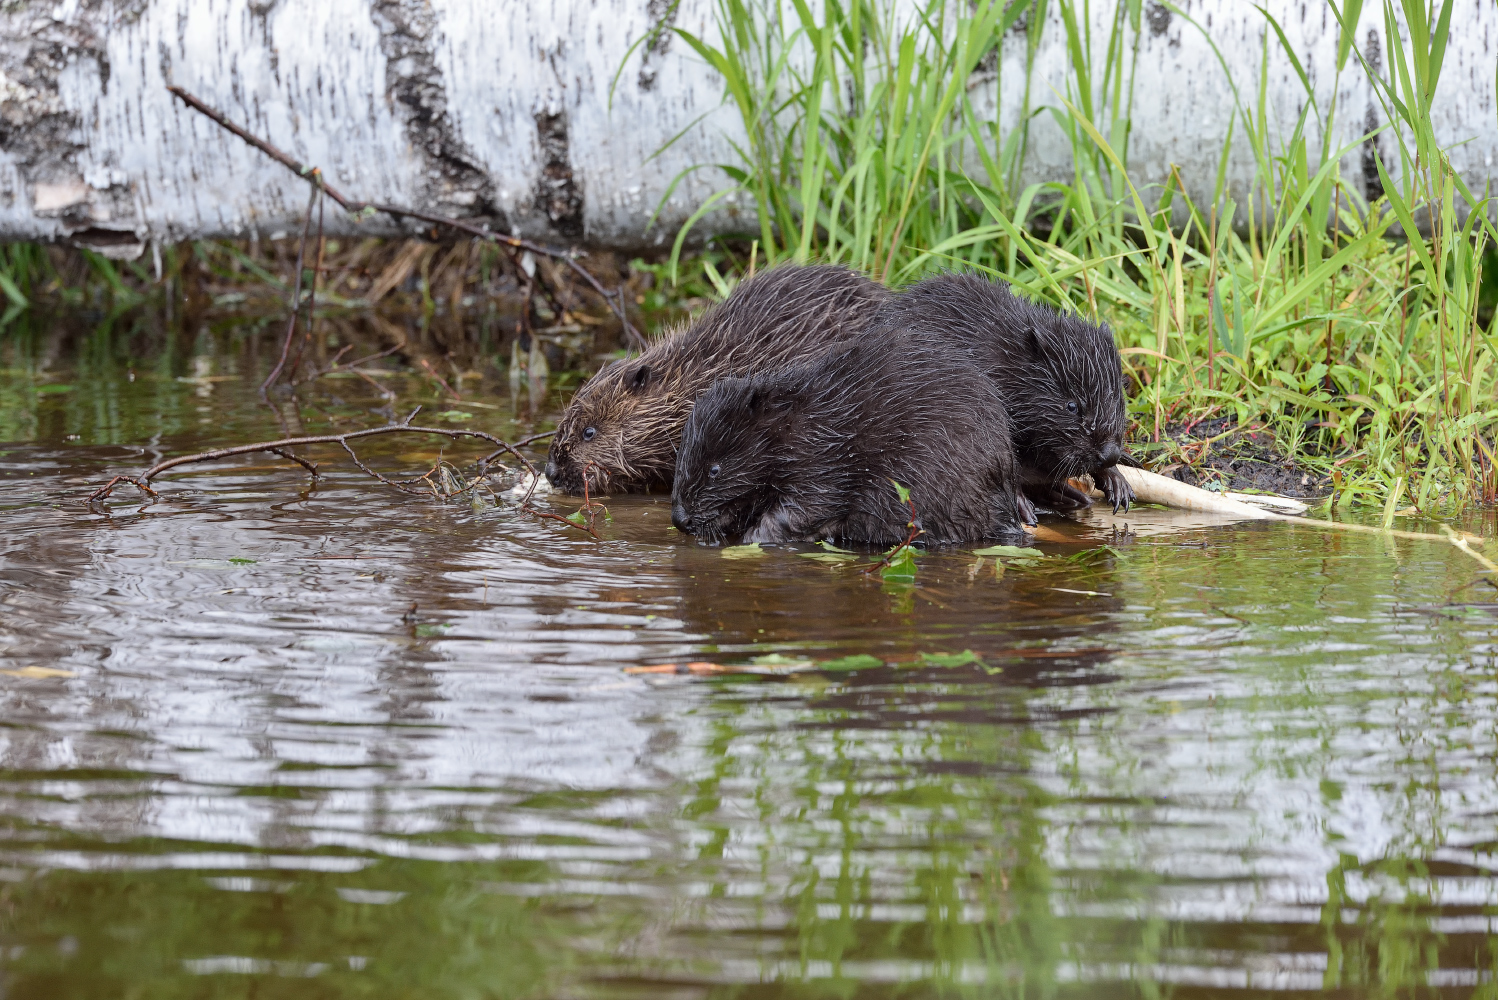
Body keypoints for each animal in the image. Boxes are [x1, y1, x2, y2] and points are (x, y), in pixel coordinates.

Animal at [671, 327, 1030, 547]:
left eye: (715, 469)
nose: (679, 519)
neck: (797, 423)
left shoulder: (820, 461)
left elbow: (808, 506)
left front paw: (753, 538)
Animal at [868, 273, 1132, 511]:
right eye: (1072, 405)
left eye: (1119, 398)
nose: (1110, 453)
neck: (1005, 367)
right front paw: (1023, 506)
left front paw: (1118, 483)